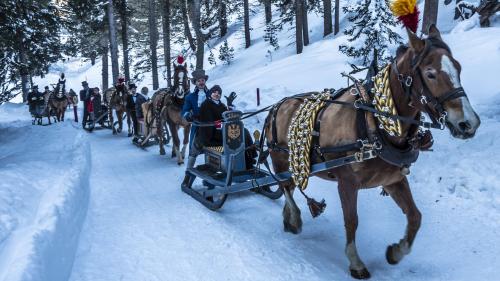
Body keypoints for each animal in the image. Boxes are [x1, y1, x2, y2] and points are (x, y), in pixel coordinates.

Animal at [264, 25, 478, 278]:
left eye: (459, 67)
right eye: (430, 73)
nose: (469, 123)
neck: (372, 122)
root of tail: (277, 106)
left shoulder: (393, 179)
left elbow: (415, 216)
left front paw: (396, 251)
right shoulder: (346, 182)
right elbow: (351, 220)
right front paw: (355, 262)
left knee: (288, 187)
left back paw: (288, 219)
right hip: (280, 159)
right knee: (285, 186)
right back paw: (295, 218)